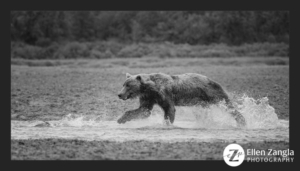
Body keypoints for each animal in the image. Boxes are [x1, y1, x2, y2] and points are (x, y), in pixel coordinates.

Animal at [117, 72, 246, 127]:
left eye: (128, 85)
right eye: (123, 84)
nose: (119, 94)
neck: (150, 88)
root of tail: (213, 80)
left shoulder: (164, 94)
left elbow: (169, 109)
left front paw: (167, 124)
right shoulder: (149, 98)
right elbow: (144, 110)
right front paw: (121, 119)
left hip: (213, 93)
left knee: (228, 106)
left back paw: (242, 121)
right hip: (201, 102)